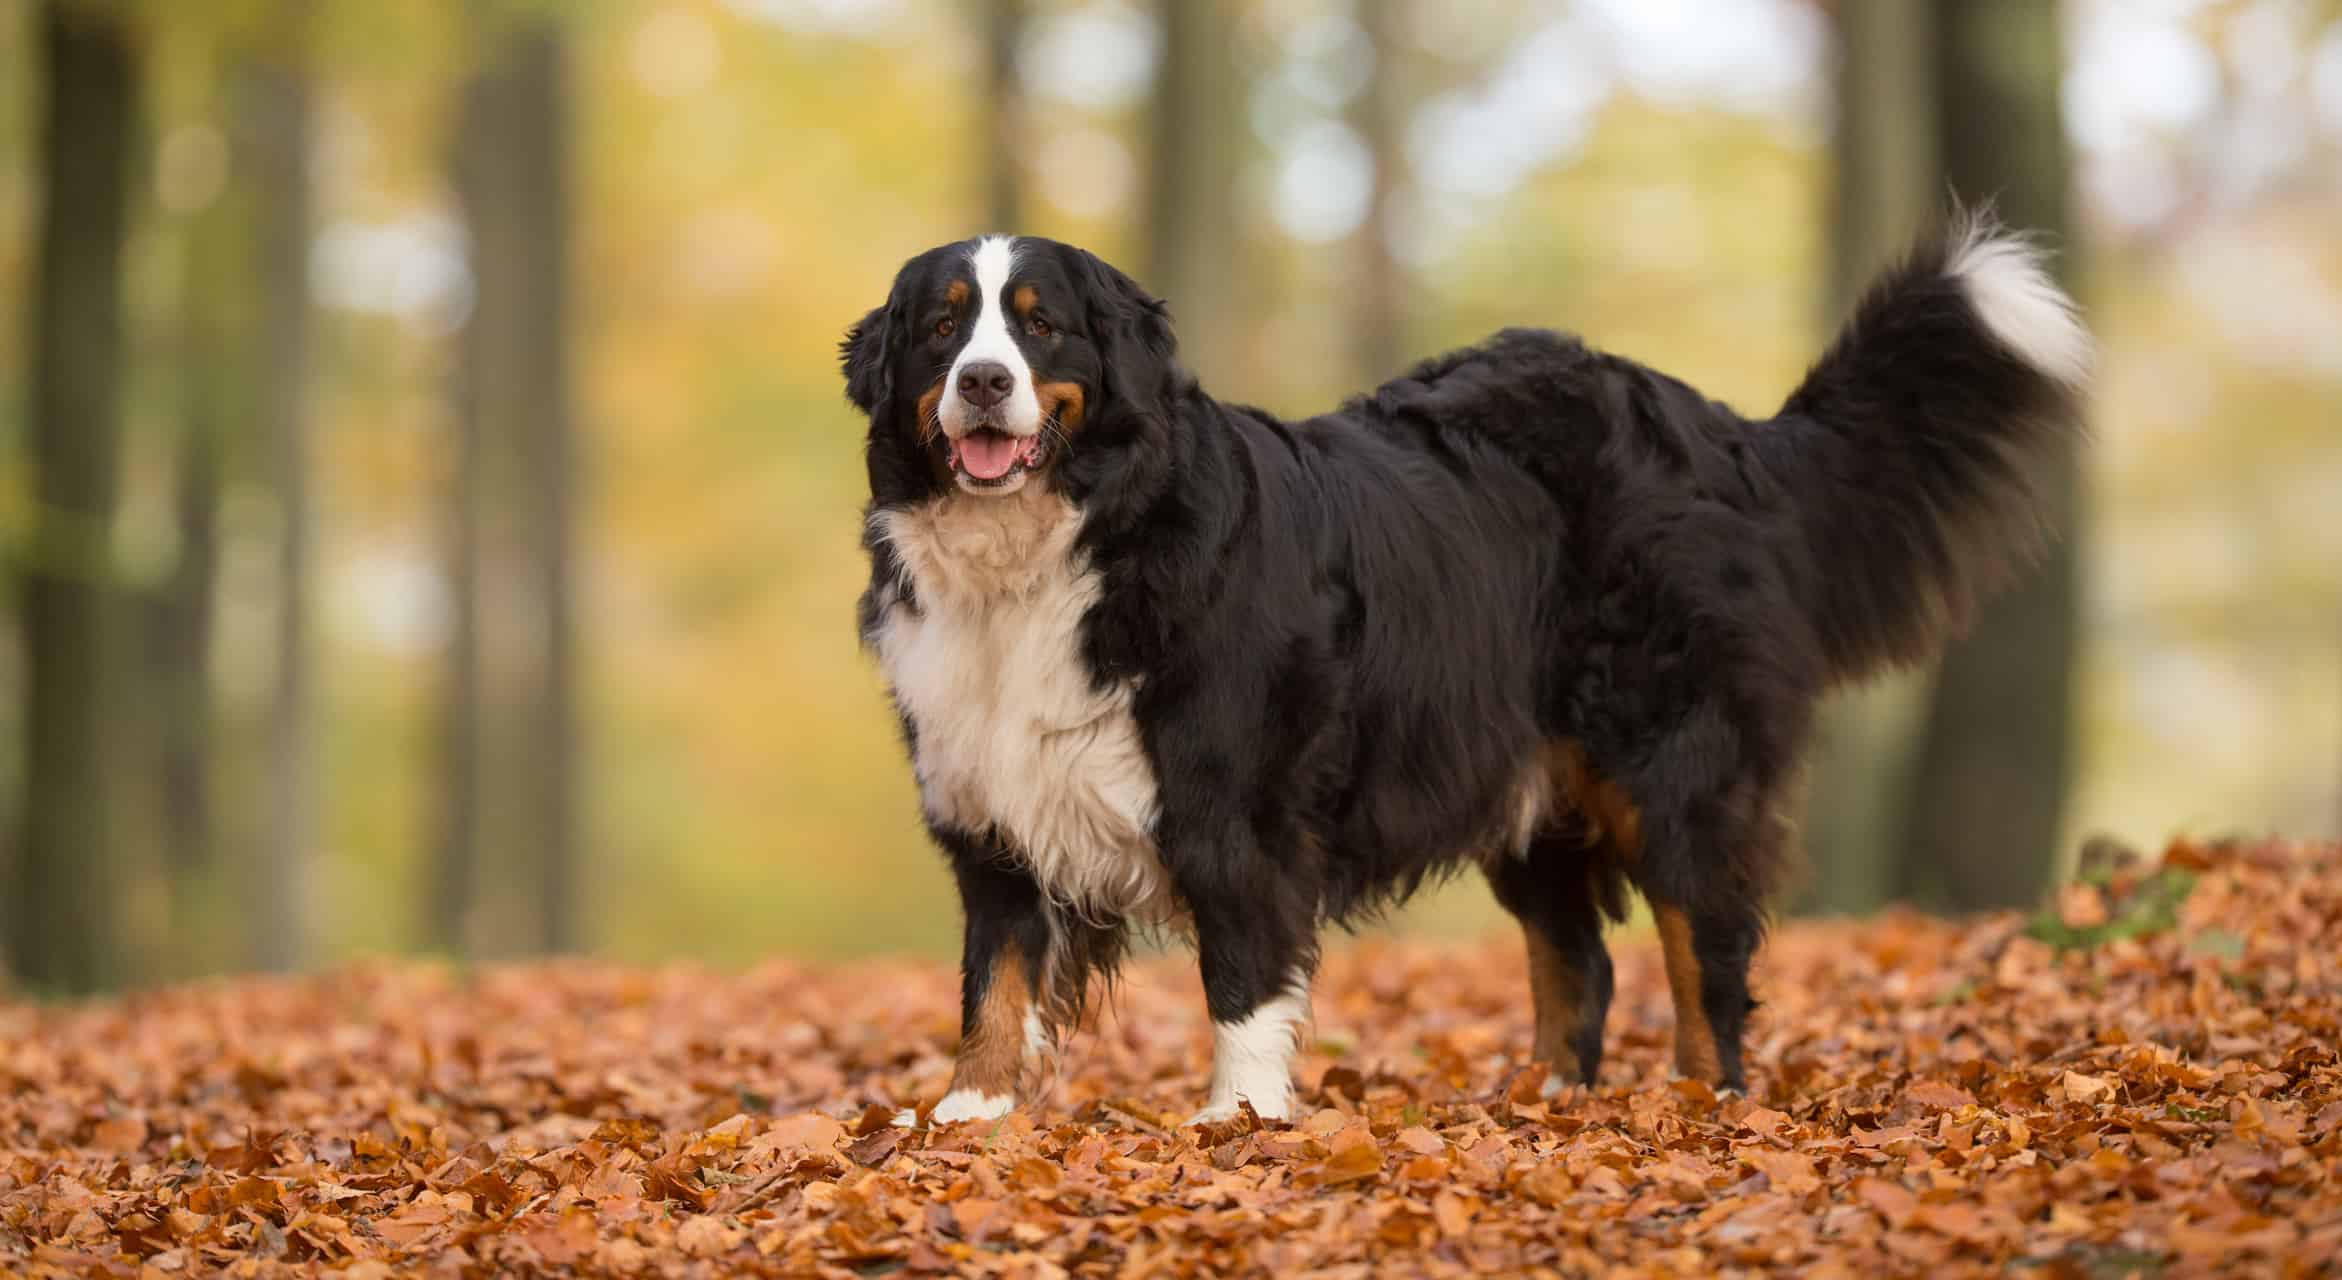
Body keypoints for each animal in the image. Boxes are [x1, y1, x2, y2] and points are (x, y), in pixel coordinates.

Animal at [843, 215, 2089, 1127]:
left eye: (1041, 328)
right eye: (944, 328)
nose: (983, 382)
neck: (1052, 551)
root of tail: (1713, 425)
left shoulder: (1233, 812)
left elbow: (1241, 981)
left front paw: (1235, 1120)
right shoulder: (988, 804)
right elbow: (994, 976)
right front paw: (969, 1112)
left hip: (1670, 763)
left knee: (1704, 948)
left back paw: (1702, 1101)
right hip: (1526, 784)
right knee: (1576, 959)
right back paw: (1541, 1098)